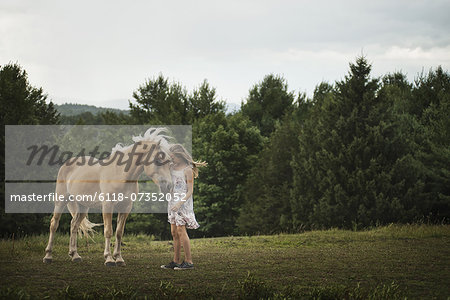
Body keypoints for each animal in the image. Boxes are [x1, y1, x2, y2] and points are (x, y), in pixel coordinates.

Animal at [42, 127, 172, 266]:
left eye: (169, 162)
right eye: (158, 161)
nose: (169, 186)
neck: (121, 174)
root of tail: (67, 164)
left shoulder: (125, 207)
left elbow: (119, 233)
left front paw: (119, 258)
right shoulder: (108, 205)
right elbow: (108, 231)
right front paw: (109, 259)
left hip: (83, 206)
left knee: (74, 225)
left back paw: (75, 255)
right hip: (61, 201)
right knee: (54, 224)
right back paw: (48, 256)